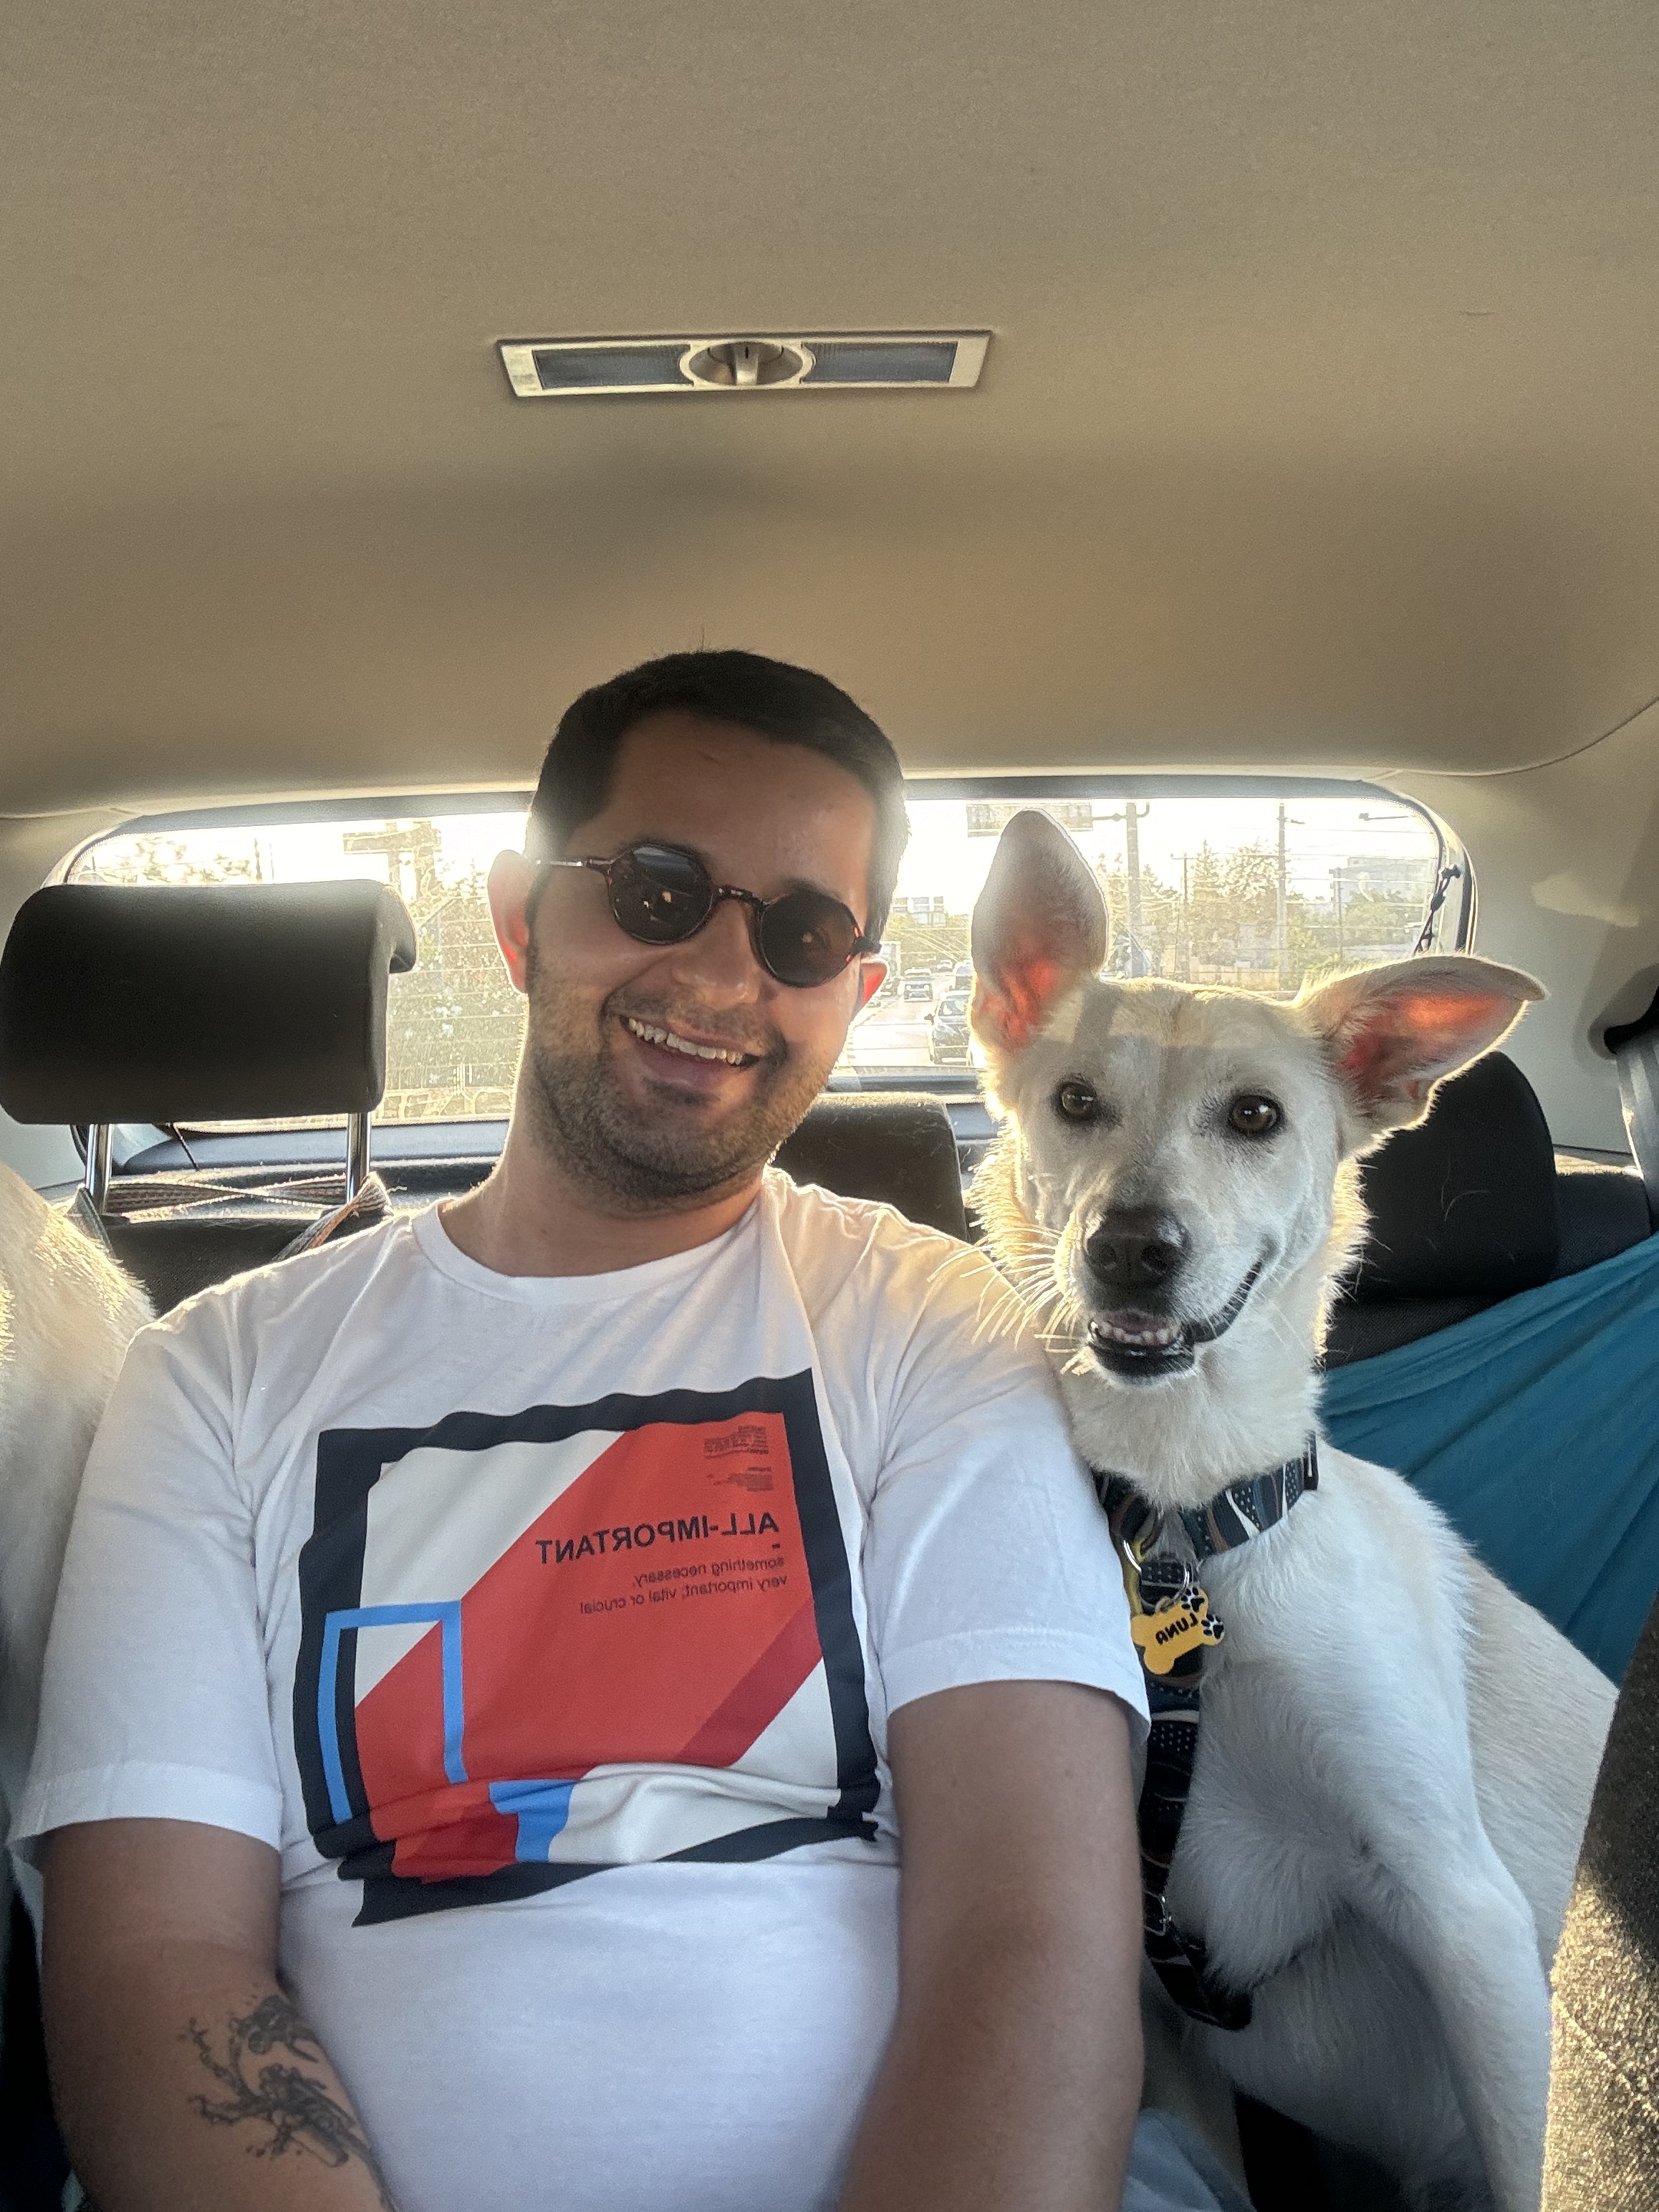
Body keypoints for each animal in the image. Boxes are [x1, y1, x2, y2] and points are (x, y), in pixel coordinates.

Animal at [968, 810, 1615, 2212]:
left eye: (1256, 1116)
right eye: (1076, 1101)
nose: (1132, 1248)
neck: (1180, 1539)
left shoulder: (1467, 1918)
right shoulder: (1152, 2004)